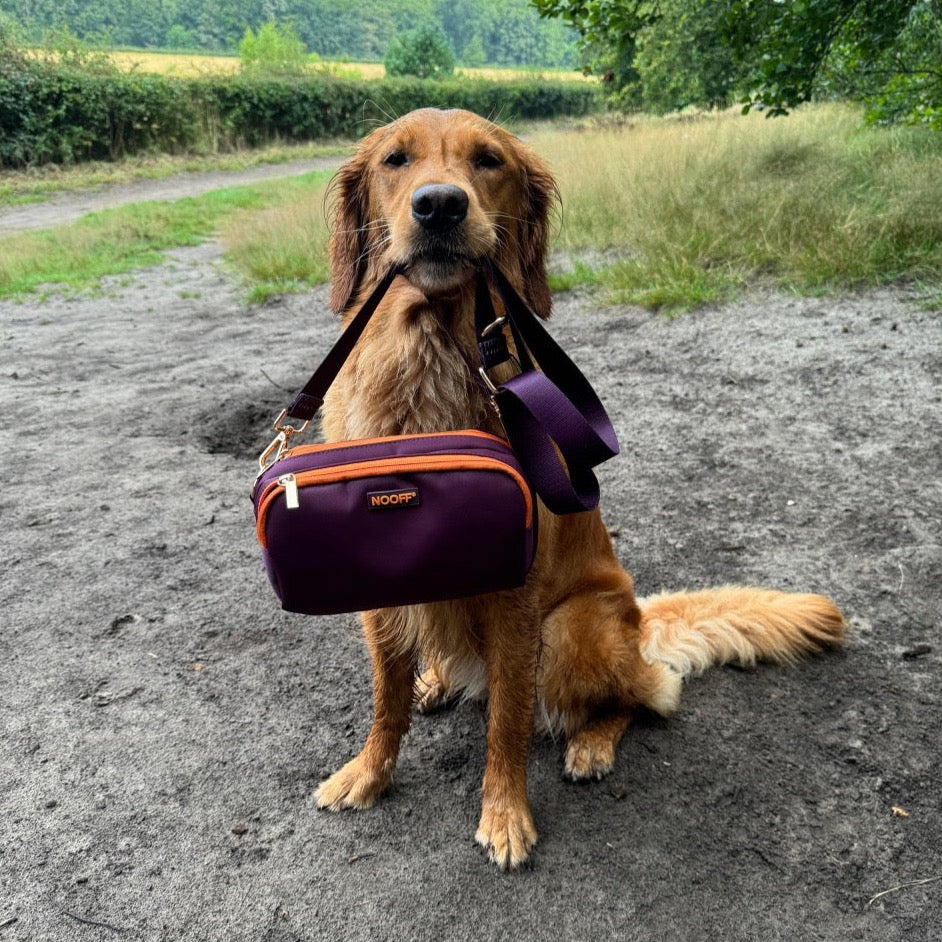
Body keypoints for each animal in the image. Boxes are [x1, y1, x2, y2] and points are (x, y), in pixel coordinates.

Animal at [312, 109, 848, 872]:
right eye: (396, 159)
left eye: (488, 160)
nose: (440, 205)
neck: (433, 353)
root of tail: (641, 621)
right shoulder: (379, 591)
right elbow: (387, 698)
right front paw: (368, 772)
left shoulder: (516, 598)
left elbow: (507, 722)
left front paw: (506, 815)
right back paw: (439, 681)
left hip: (569, 631)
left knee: (648, 692)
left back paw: (592, 744)